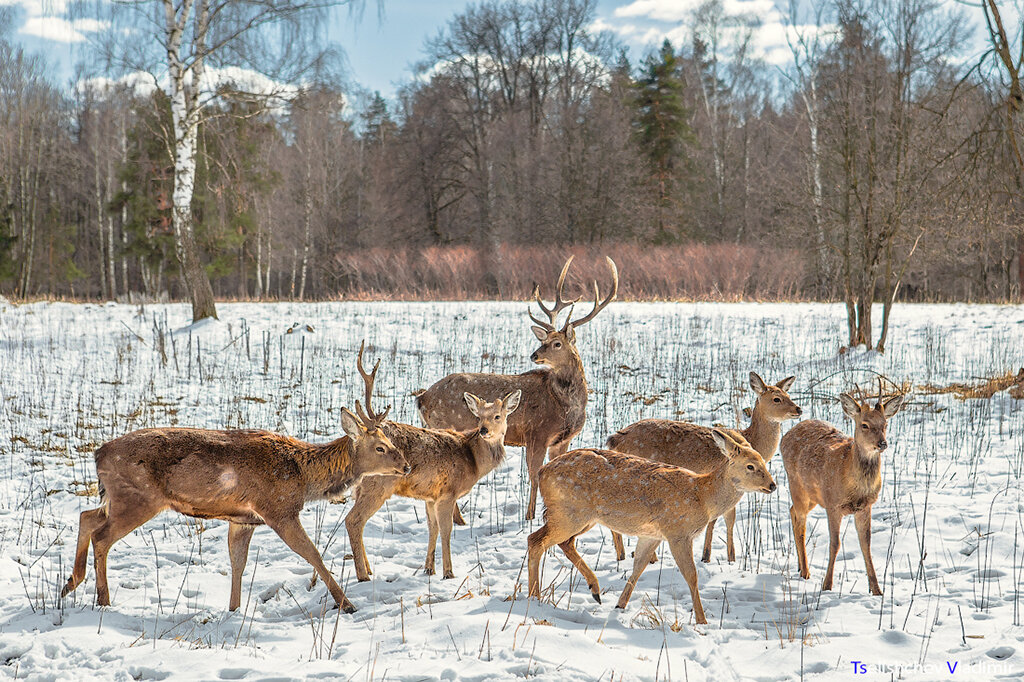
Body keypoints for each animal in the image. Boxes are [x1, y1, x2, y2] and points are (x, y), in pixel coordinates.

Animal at [59, 342, 407, 606]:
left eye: (391, 441)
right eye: (380, 446)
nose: (405, 466)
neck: (302, 475)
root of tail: (99, 453)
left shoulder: (243, 519)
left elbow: (238, 565)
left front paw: (233, 609)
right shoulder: (278, 509)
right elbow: (314, 555)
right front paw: (346, 604)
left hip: (119, 497)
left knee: (87, 515)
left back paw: (70, 583)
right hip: (138, 497)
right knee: (101, 536)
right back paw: (102, 598)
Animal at [344, 342, 520, 577]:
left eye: (497, 416)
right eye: (479, 417)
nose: (483, 430)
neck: (472, 460)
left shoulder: (430, 496)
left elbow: (432, 529)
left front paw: (429, 568)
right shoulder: (448, 493)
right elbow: (446, 531)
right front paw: (448, 572)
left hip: (361, 489)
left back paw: (369, 569)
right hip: (378, 485)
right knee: (354, 521)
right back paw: (363, 574)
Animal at [528, 430, 774, 622]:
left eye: (764, 461)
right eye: (750, 466)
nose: (772, 485)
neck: (702, 496)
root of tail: (542, 472)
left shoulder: (652, 534)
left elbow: (638, 567)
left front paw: (620, 605)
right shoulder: (677, 532)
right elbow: (691, 575)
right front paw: (702, 620)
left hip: (582, 517)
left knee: (562, 543)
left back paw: (594, 591)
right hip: (570, 513)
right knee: (536, 541)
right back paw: (535, 596)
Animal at [602, 374, 802, 561]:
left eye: (788, 394)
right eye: (776, 399)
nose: (798, 409)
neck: (751, 439)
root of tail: (615, 438)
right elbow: (725, 519)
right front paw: (719, 556)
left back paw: (625, 555)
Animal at [778, 378, 909, 593]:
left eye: (885, 423)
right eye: (864, 425)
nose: (882, 443)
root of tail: (786, 434)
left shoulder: (865, 506)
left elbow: (866, 545)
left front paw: (876, 590)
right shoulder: (833, 504)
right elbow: (835, 543)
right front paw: (827, 585)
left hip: (813, 496)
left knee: (792, 511)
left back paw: (799, 566)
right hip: (796, 484)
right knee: (800, 523)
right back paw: (805, 571)